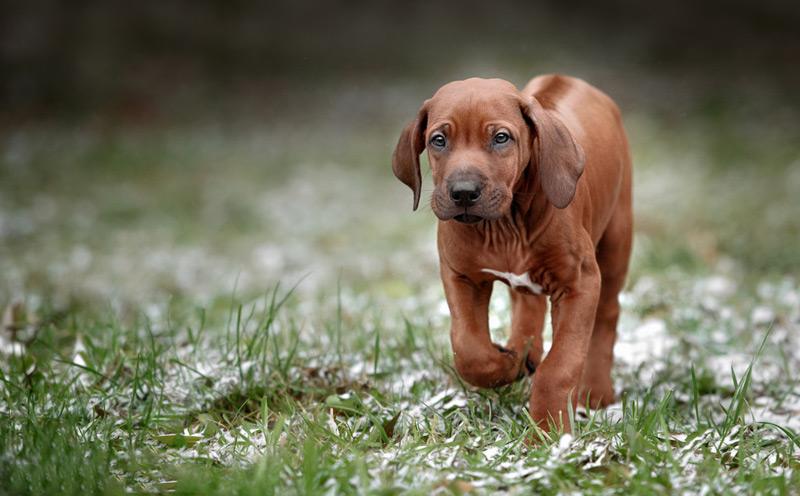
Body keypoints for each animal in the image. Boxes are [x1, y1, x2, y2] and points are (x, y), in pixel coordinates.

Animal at [392, 74, 632, 434]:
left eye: (501, 138)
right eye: (438, 140)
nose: (463, 193)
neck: (506, 227)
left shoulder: (579, 284)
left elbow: (559, 367)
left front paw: (548, 433)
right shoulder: (460, 275)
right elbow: (468, 350)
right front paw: (508, 364)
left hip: (617, 240)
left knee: (607, 315)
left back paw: (596, 393)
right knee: (527, 305)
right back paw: (524, 352)